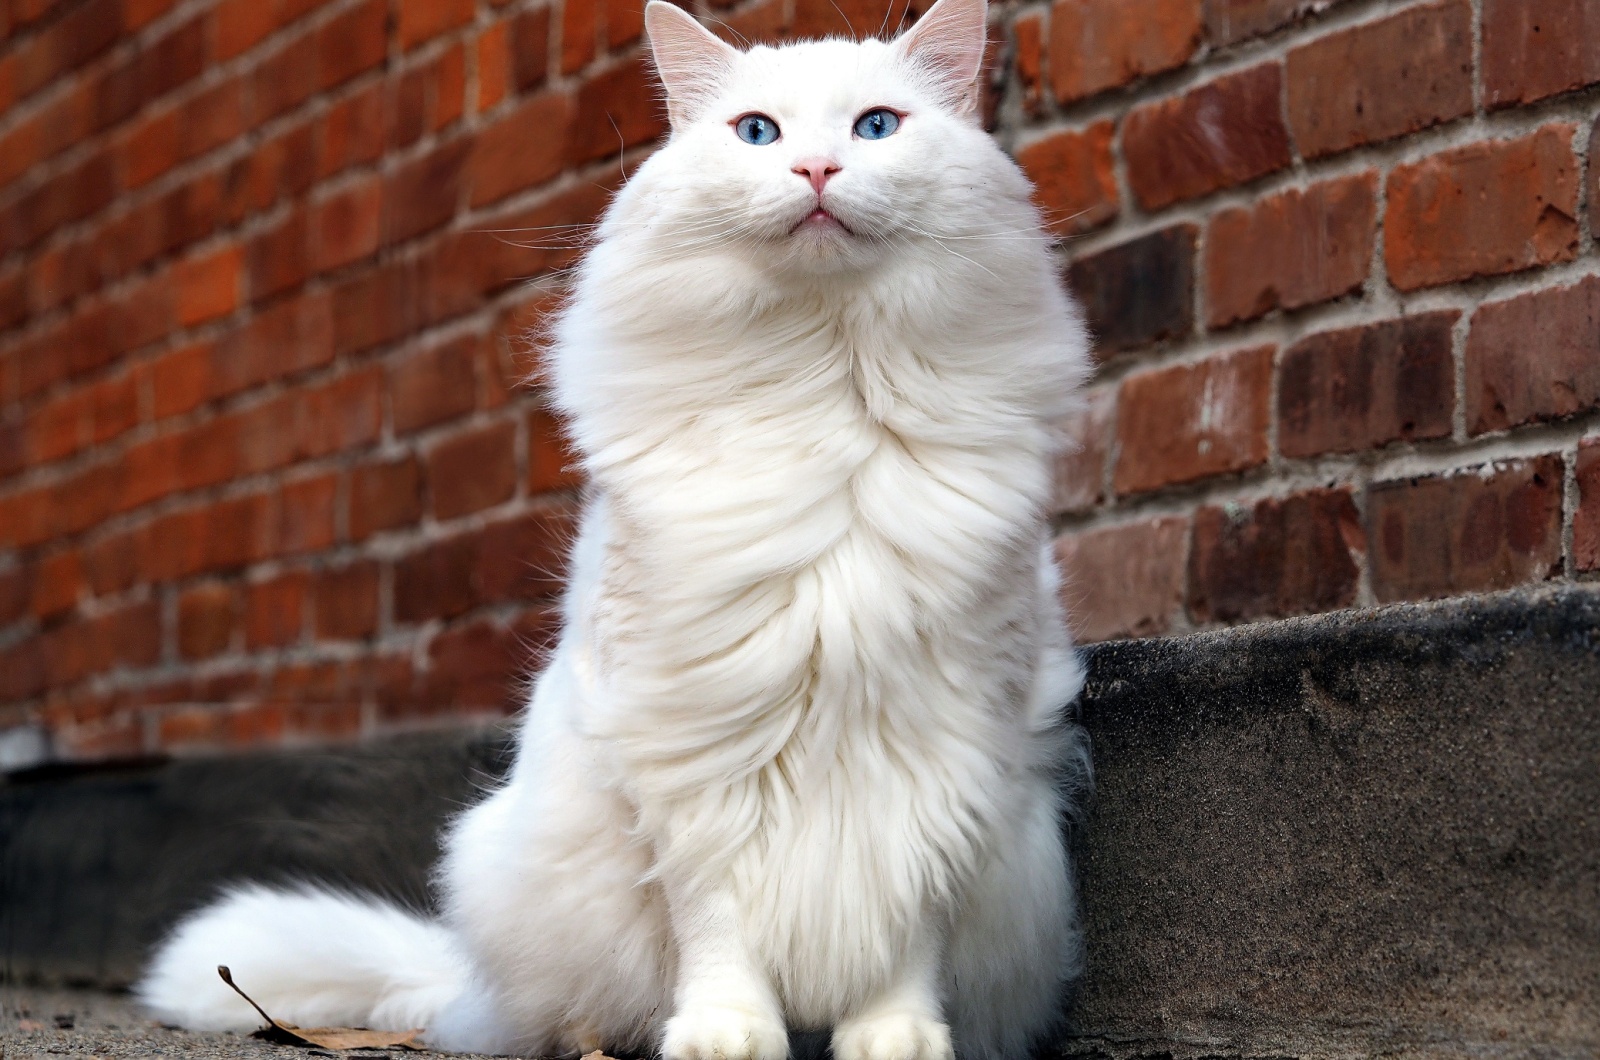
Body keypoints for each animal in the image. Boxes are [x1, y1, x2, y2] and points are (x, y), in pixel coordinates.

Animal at [137, 2, 1094, 1060]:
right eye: (758, 133)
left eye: (875, 127)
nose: (815, 170)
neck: (825, 381)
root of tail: (465, 988)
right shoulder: (692, 734)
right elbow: (718, 913)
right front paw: (725, 1032)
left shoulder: (941, 737)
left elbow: (903, 914)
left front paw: (898, 1034)